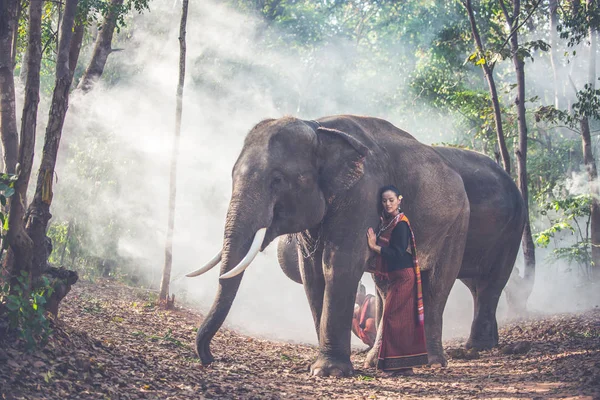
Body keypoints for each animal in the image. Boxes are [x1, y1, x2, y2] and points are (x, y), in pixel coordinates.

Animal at [186, 114, 524, 376]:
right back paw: (381, 362)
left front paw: (329, 372)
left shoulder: (363, 193)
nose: (210, 358)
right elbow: (312, 273)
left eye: (277, 180)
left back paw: (445, 358)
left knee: (450, 284)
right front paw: (320, 367)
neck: (318, 127)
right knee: (396, 287)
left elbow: (339, 264)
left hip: (467, 226)